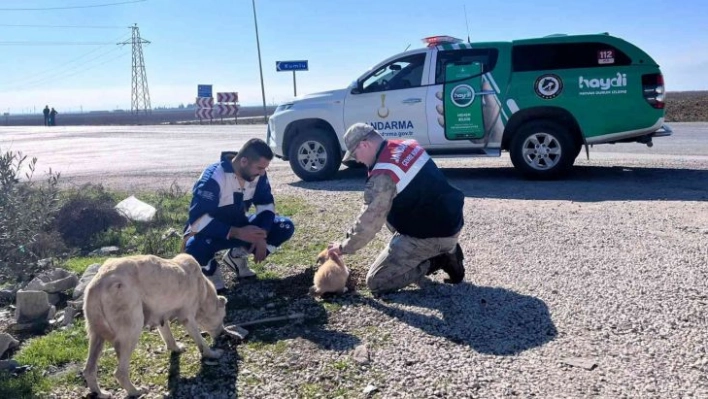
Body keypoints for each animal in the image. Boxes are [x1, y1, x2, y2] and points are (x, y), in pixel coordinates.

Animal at [82, 255, 227, 398]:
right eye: (223, 318)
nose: (222, 334)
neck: (203, 289)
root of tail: (97, 284)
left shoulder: (160, 316)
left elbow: (168, 336)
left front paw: (176, 348)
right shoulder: (188, 317)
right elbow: (201, 342)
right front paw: (213, 354)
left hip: (96, 335)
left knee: (89, 370)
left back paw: (100, 393)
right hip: (132, 327)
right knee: (120, 372)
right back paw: (135, 391)